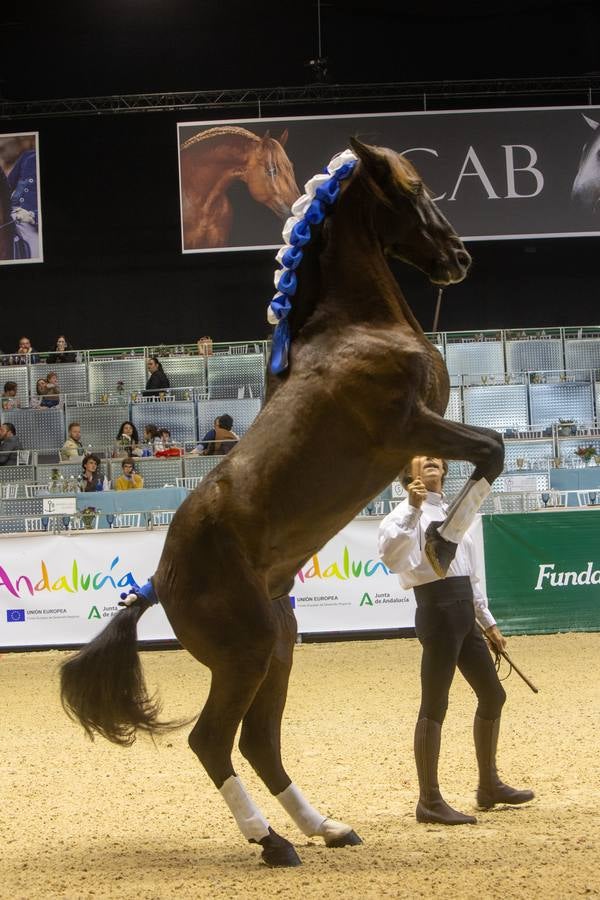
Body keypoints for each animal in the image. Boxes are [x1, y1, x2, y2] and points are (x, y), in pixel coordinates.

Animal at [61, 142, 504, 872]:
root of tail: (160, 578)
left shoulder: (421, 433)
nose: (459, 258)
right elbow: (493, 447)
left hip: (280, 646)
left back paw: (326, 827)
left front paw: (439, 535)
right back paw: (272, 841)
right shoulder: (409, 426)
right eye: (410, 188)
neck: (357, 330)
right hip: (246, 653)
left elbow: (487, 454)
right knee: (213, 741)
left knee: (258, 742)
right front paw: (440, 541)